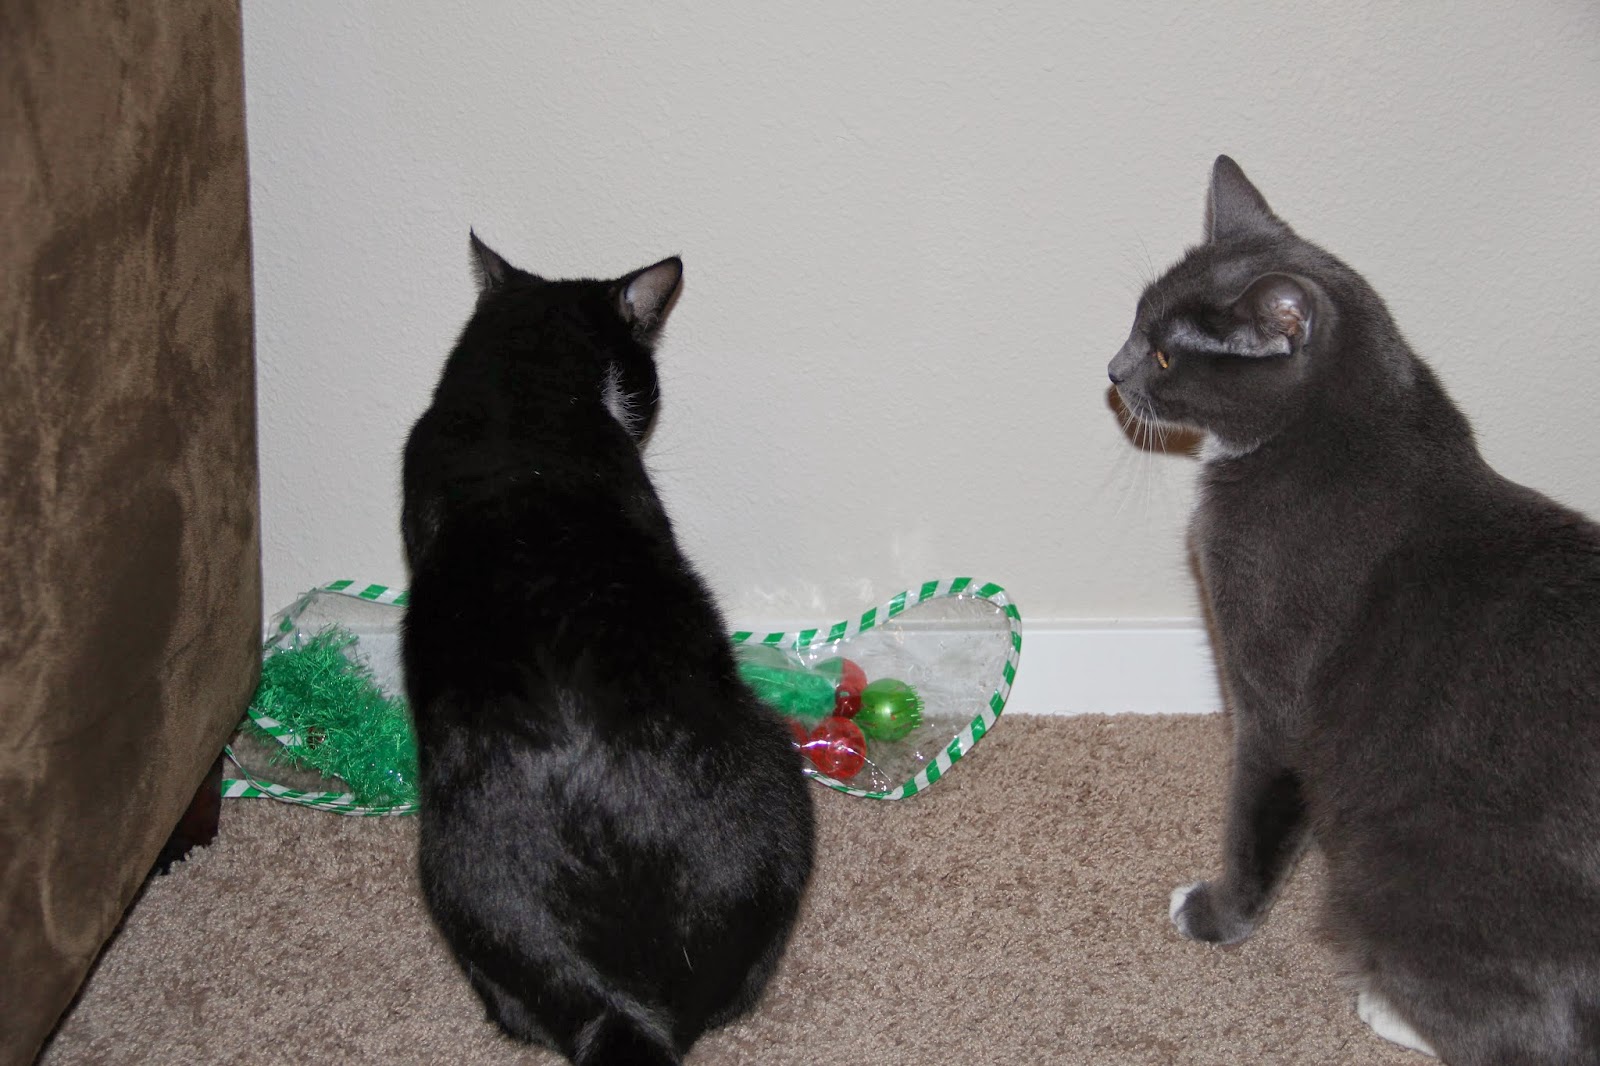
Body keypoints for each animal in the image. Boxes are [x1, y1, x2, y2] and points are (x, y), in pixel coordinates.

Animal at [1109, 157, 1600, 1065]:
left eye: (1162, 352)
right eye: (1134, 322)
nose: (1113, 369)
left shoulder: (1271, 690)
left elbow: (1256, 810)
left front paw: (1215, 915)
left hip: (1401, 864)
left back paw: (1388, 1008)